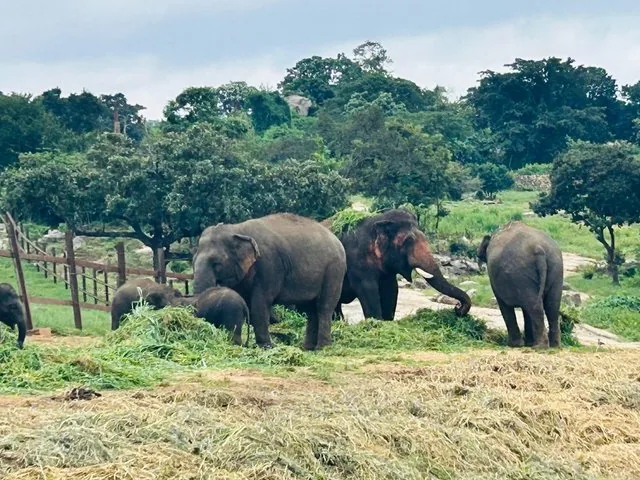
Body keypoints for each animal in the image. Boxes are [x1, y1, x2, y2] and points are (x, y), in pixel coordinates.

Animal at [193, 213, 347, 350]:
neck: (237, 229)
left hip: (334, 271)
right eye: (193, 261)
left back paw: (322, 348)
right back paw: (308, 347)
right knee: (311, 309)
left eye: (216, 263)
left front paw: (265, 346)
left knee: (324, 307)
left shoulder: (269, 264)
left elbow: (260, 303)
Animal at [329, 209, 472, 321]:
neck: (378, 220)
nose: (457, 308)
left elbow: (392, 290)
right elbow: (368, 290)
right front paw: (375, 323)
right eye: (408, 241)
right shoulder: (356, 262)